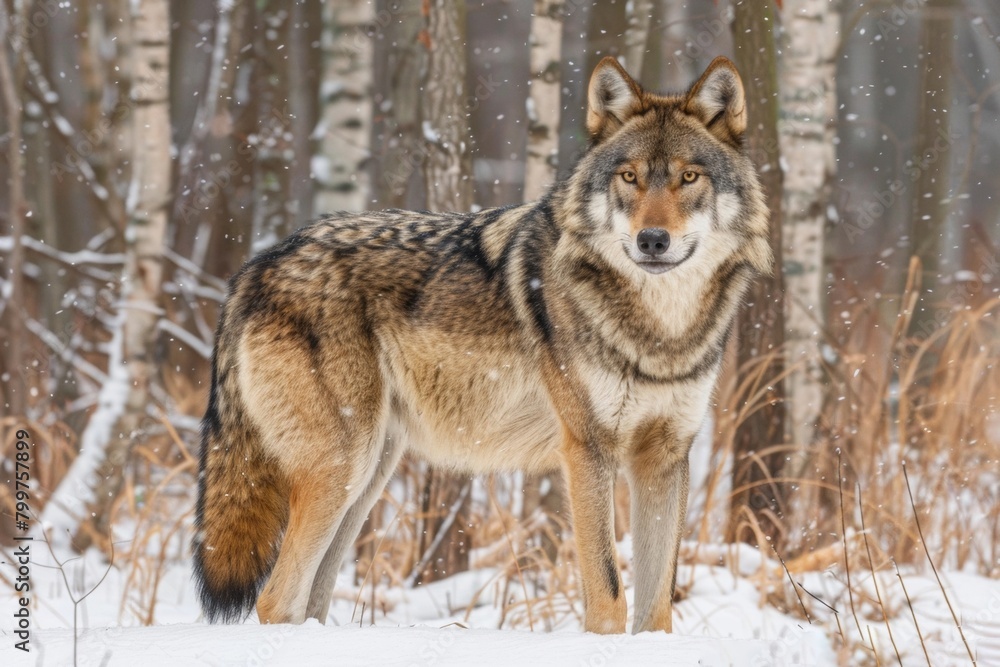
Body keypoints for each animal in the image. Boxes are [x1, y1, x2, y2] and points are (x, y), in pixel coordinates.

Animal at [192, 55, 772, 634]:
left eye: (688, 176)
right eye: (629, 177)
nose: (652, 240)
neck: (660, 333)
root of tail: (256, 266)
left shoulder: (667, 457)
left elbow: (656, 608)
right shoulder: (588, 450)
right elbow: (609, 596)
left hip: (368, 477)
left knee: (311, 599)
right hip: (342, 468)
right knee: (275, 599)